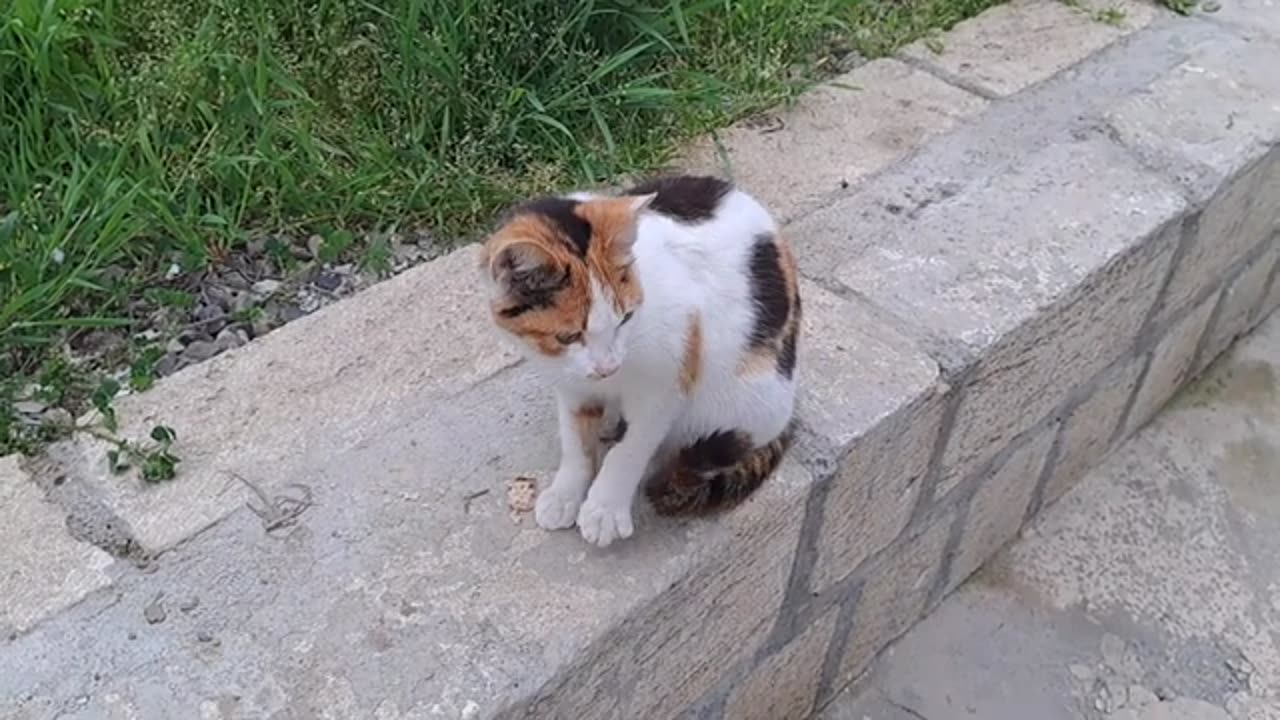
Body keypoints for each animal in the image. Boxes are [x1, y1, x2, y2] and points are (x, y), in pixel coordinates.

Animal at [481, 174, 798, 543]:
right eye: (568, 337)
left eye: (625, 319)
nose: (607, 368)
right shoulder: (571, 382)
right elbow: (574, 438)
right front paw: (565, 495)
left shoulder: (668, 379)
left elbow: (631, 447)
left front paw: (604, 509)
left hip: (754, 399)